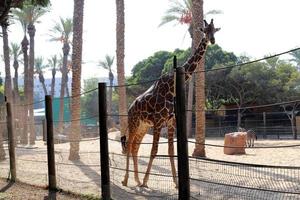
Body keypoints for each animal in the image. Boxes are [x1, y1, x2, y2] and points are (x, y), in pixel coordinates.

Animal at [120, 18, 220, 188]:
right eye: (205, 30)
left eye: (214, 30)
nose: (212, 40)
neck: (172, 88)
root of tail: (130, 107)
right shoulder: (159, 121)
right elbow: (154, 151)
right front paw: (146, 181)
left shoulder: (171, 121)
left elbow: (171, 152)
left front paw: (176, 182)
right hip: (134, 123)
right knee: (128, 145)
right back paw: (126, 180)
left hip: (143, 126)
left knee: (134, 148)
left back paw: (136, 180)